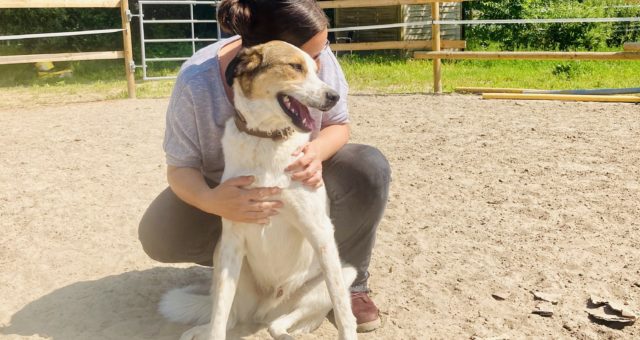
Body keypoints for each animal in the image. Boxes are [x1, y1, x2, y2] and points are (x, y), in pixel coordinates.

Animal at [159, 40, 358, 340]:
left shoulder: (320, 232)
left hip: (341, 275)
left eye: (315, 68)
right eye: (295, 67)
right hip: (224, 262)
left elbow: (344, 311)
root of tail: (264, 307)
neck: (266, 138)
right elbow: (220, 316)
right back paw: (200, 330)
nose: (334, 96)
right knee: (229, 316)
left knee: (284, 320)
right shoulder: (232, 240)